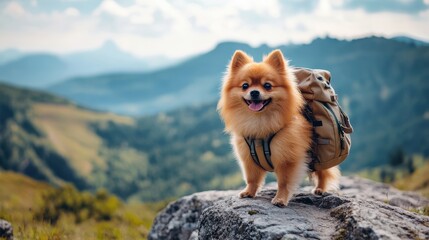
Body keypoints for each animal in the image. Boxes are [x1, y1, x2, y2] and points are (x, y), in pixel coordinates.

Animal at [219, 49, 340, 206]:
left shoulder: (286, 158)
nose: (254, 92)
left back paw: (320, 189)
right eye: (245, 86)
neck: (259, 121)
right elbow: (252, 179)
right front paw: (249, 192)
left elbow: (284, 182)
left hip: (319, 157)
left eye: (267, 86)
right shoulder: (249, 158)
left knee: (323, 173)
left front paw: (280, 199)